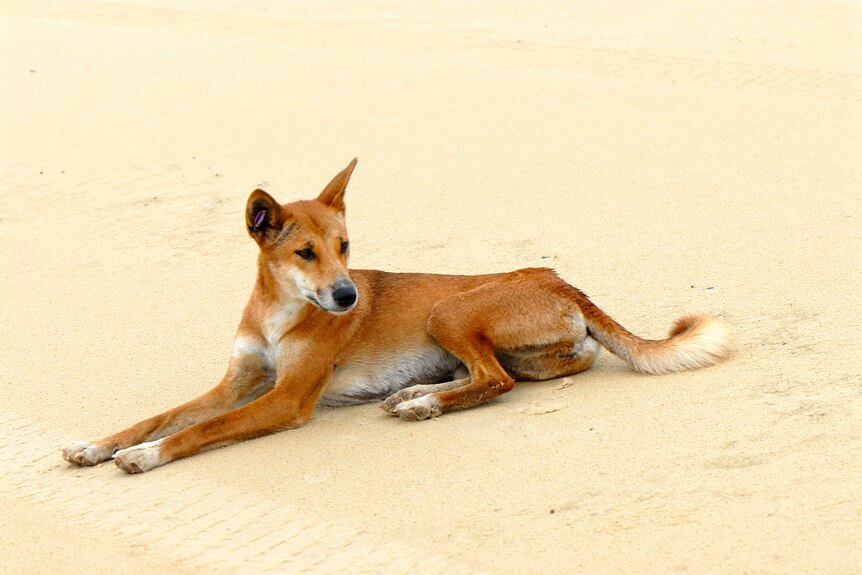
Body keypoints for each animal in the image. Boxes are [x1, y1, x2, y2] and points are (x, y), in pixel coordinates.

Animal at [60, 158, 732, 472]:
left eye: (345, 246)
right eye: (305, 253)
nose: (348, 297)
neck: (281, 311)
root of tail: (559, 279)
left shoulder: (286, 398)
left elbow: (198, 430)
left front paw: (146, 457)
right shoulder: (237, 382)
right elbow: (159, 417)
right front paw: (97, 445)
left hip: (448, 309)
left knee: (496, 381)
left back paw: (422, 404)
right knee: (504, 373)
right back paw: (417, 393)